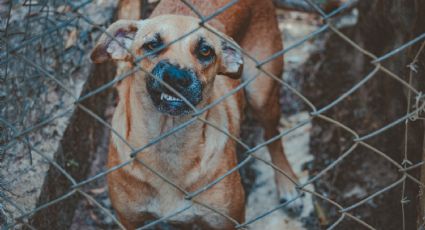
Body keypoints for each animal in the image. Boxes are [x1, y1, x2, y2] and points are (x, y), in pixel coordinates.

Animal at [90, 0, 302, 229]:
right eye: (152, 45)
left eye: (205, 51)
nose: (176, 77)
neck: (168, 143)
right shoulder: (129, 219)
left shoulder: (229, 219)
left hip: (261, 93)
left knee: (274, 137)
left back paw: (288, 184)